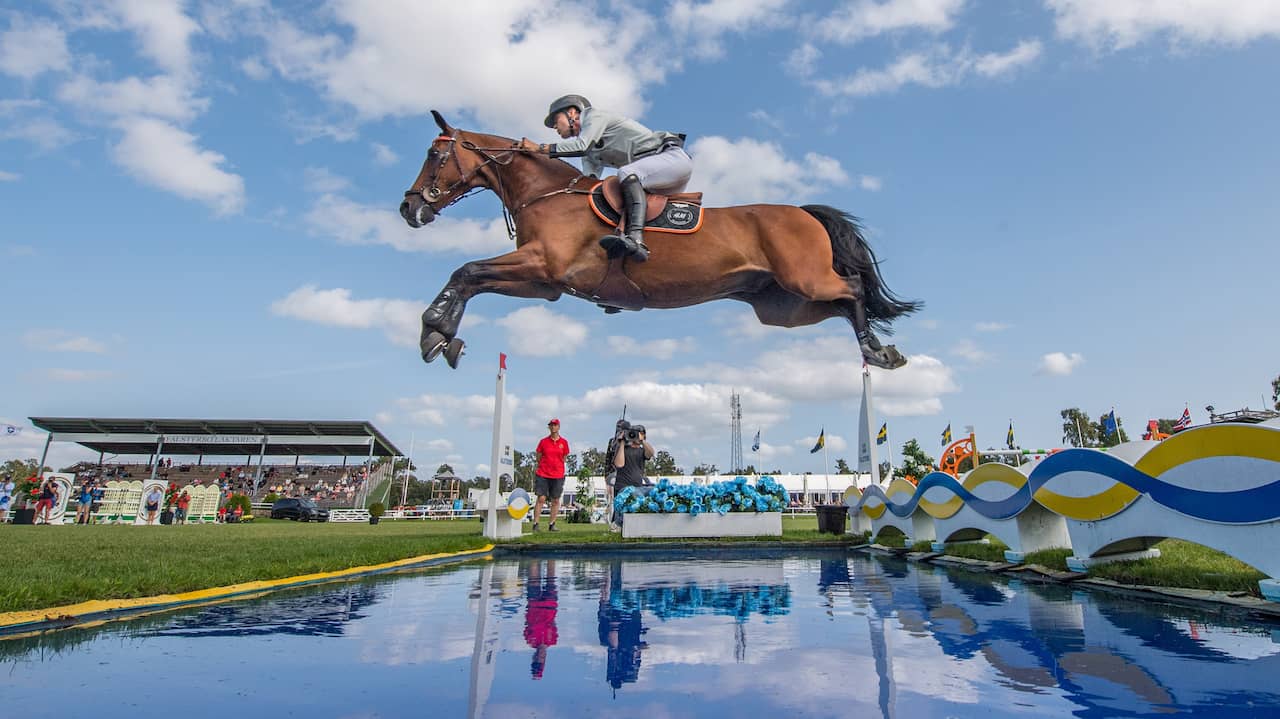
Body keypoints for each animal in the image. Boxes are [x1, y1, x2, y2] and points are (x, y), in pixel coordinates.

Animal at [399, 111, 920, 370]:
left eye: (434, 155)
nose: (409, 208)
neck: (545, 194)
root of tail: (804, 213)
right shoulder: (544, 283)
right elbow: (470, 277)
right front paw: (442, 337)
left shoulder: (541, 266)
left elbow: (466, 270)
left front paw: (434, 331)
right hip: (785, 306)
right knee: (844, 304)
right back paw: (876, 349)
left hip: (805, 280)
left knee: (853, 288)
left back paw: (877, 352)